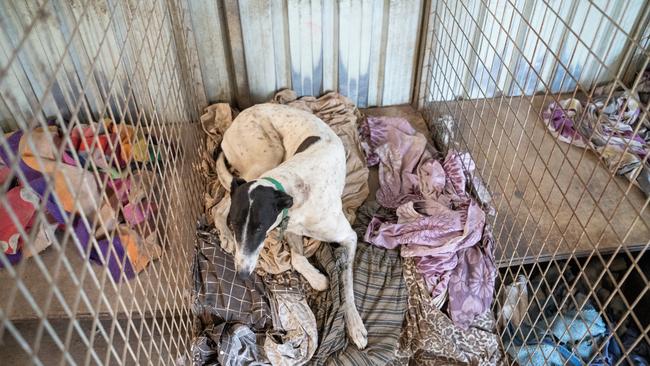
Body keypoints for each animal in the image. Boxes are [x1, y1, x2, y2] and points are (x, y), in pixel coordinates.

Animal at [213, 103, 364, 348]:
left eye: (258, 228)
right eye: (235, 225)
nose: (242, 274)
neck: (291, 189)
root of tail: (236, 119)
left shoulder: (348, 236)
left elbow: (346, 283)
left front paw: (354, 324)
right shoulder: (291, 228)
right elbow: (297, 259)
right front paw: (317, 279)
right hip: (264, 157)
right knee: (219, 205)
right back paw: (224, 235)